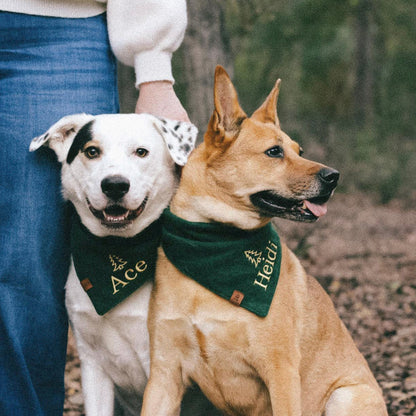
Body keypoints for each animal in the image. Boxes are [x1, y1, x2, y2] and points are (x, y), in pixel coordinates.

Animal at [30, 114, 216, 416]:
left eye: (141, 152)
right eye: (91, 151)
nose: (115, 185)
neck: (117, 251)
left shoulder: (162, 369)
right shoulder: (92, 366)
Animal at [141, 66, 386, 414]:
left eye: (299, 151)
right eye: (274, 152)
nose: (334, 177)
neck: (212, 246)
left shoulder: (281, 372)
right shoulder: (164, 374)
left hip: (345, 397)